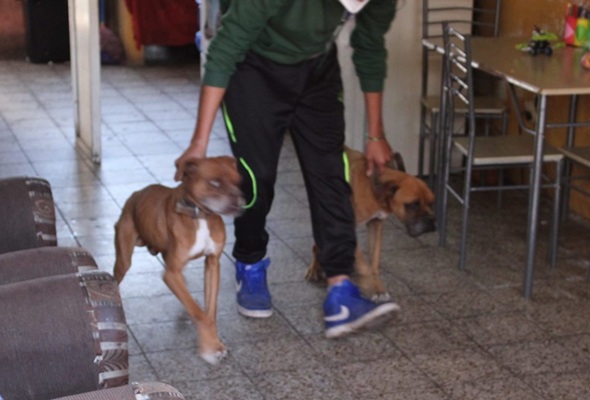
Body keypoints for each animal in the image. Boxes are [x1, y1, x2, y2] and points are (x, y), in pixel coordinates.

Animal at [113, 156, 244, 365]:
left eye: (239, 181)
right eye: (214, 183)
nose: (240, 203)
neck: (200, 216)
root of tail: (135, 194)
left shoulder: (212, 264)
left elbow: (209, 312)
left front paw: (214, 342)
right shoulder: (171, 274)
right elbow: (200, 315)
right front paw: (209, 348)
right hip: (124, 260)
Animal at [305, 146, 436, 301]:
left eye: (431, 203)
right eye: (413, 205)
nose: (432, 220)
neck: (374, 189)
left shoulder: (376, 224)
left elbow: (374, 260)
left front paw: (378, 287)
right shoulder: (347, 226)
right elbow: (364, 265)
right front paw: (369, 284)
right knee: (317, 244)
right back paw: (315, 268)